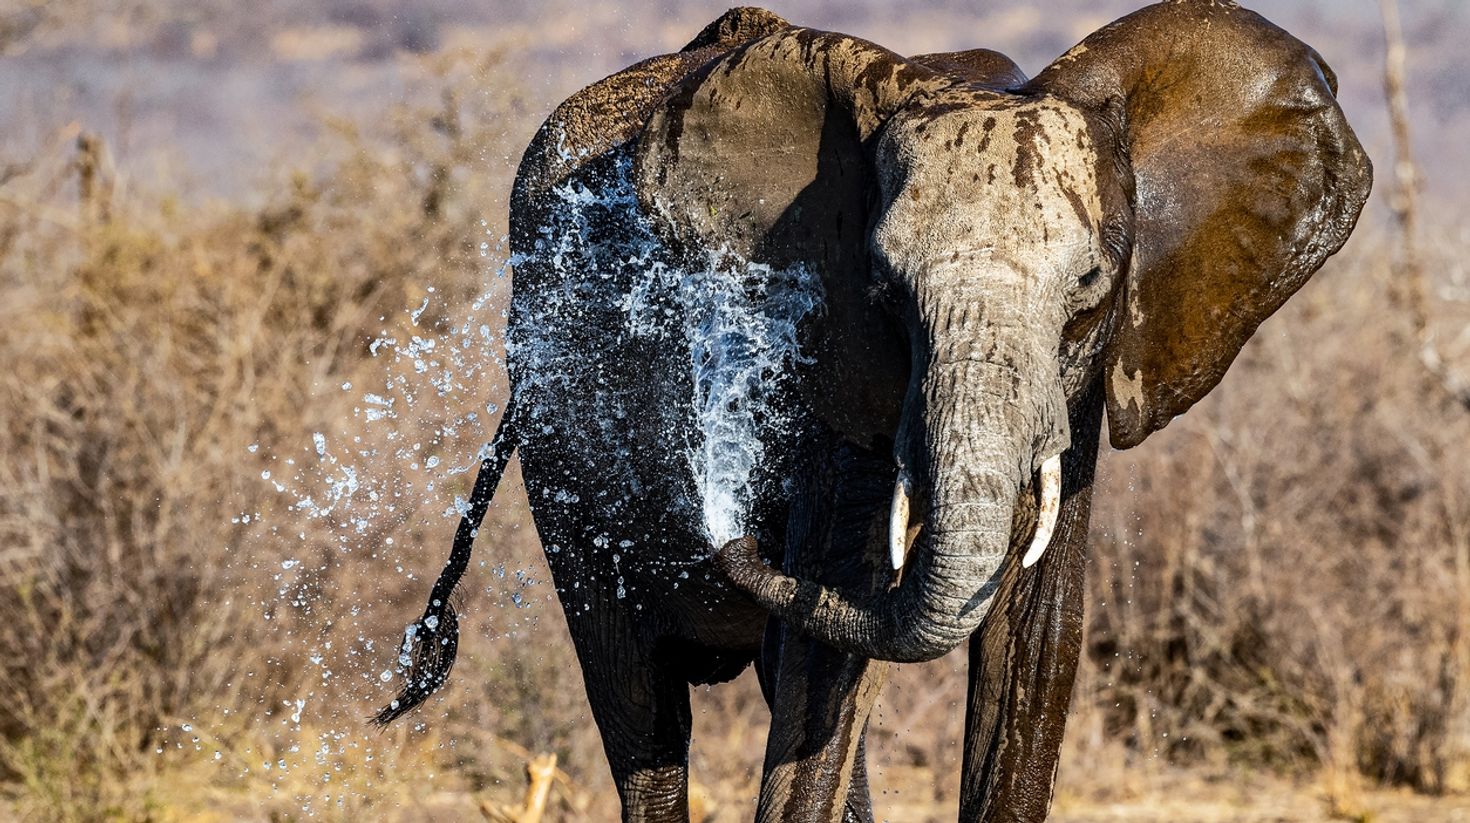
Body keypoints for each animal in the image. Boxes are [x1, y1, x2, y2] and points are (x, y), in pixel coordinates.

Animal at [375, 2, 1371, 821]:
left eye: (1089, 291)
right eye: (888, 293)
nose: (733, 513)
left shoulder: (1080, 393)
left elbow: (1035, 642)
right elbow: (832, 651)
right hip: (558, 433)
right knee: (640, 702)